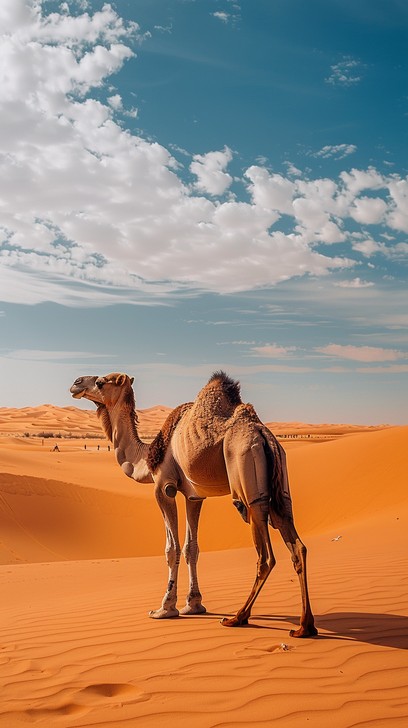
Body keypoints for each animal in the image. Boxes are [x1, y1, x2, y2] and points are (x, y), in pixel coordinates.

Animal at [70, 371, 317, 637]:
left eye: (100, 382)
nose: (75, 383)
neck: (147, 457)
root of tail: (263, 435)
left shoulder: (164, 487)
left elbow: (172, 548)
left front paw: (165, 608)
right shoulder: (194, 496)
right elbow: (191, 548)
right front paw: (194, 604)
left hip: (248, 482)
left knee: (265, 555)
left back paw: (238, 617)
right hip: (281, 486)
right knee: (297, 545)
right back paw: (304, 626)